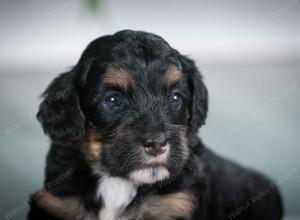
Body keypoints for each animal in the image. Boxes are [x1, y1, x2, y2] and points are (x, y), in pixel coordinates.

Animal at [27, 30, 282, 220]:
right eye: (113, 100)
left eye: (175, 98)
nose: (157, 144)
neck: (117, 182)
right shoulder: (56, 202)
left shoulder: (177, 204)